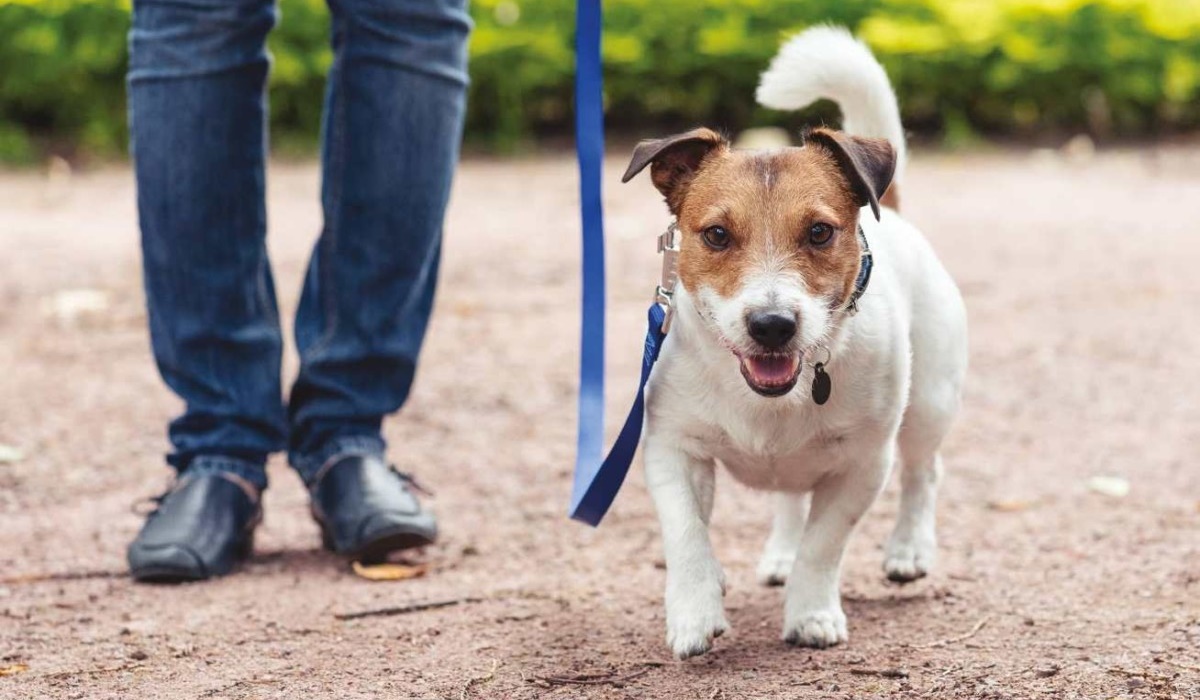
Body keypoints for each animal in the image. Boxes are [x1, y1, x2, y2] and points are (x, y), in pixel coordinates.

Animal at [624, 27, 969, 657]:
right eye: (716, 234)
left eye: (819, 231)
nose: (772, 325)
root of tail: (894, 214)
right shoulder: (673, 448)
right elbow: (687, 535)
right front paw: (694, 609)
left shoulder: (863, 464)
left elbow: (824, 544)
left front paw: (811, 613)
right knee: (790, 498)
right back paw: (780, 553)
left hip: (930, 402)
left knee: (923, 473)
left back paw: (909, 549)